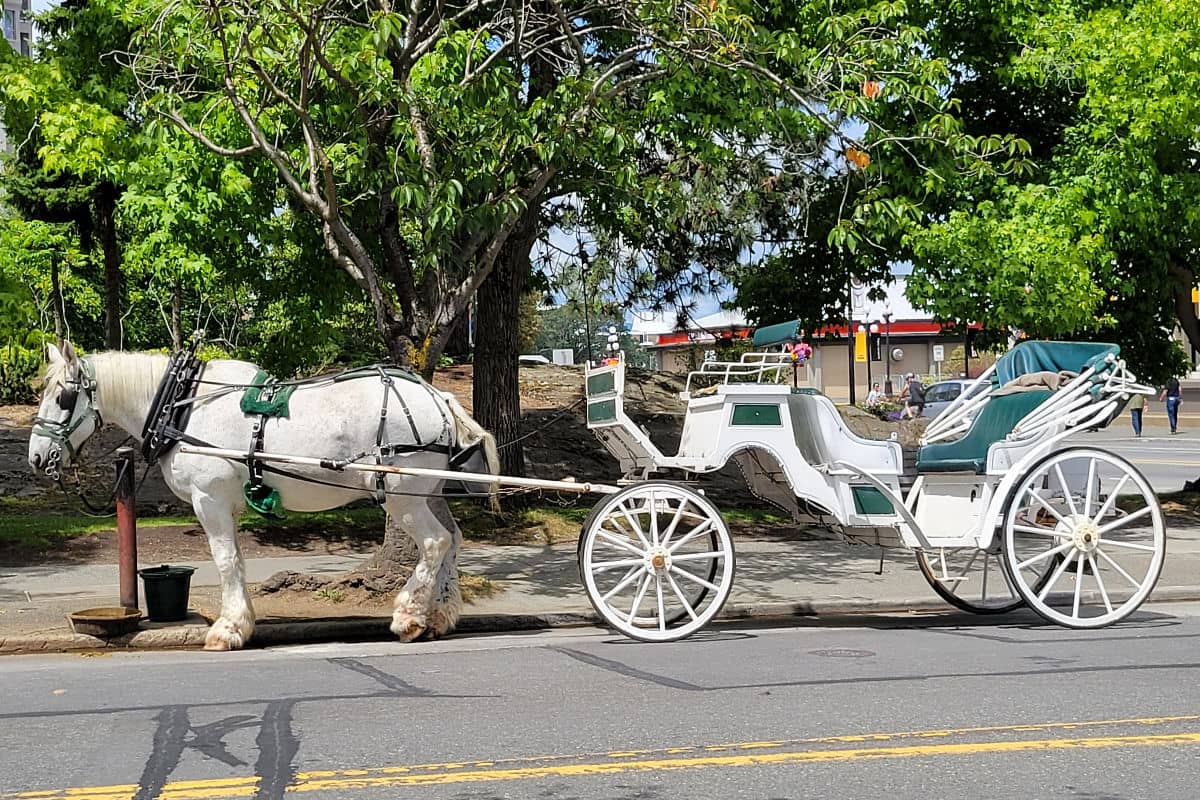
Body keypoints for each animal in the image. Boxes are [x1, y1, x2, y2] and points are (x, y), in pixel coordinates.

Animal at [27, 341, 498, 651]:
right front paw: (242, 621)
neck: (182, 406)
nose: (36, 456)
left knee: (435, 543)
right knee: (453, 540)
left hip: (403, 495)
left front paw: (228, 629)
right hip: (428, 491)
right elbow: (235, 559)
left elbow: (225, 561)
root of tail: (437, 397)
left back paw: (408, 617)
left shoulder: (210, 500)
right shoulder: (226, 505)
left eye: (63, 397)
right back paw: (440, 616)